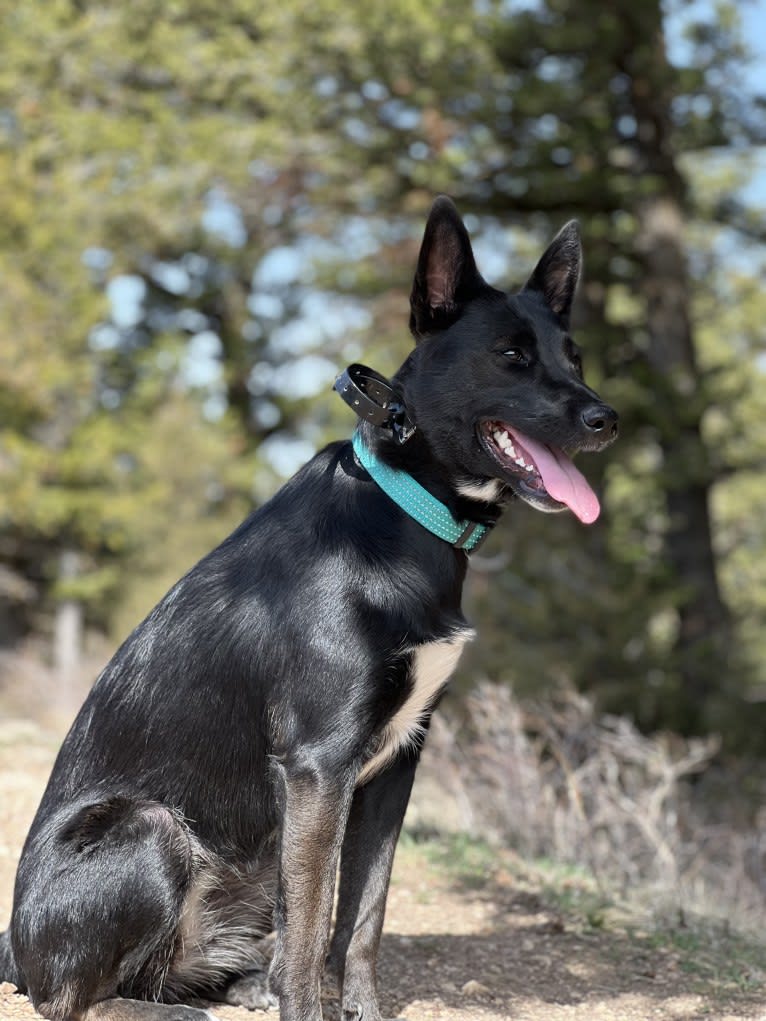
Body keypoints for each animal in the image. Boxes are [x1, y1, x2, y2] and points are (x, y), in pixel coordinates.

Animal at [0, 192, 616, 1021]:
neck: (406, 507)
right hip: (150, 828)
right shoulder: (319, 767)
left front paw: (362, 1008)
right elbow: (311, 929)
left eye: (572, 356)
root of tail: (12, 947)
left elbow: (360, 917)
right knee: (76, 997)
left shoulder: (396, 762)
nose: (607, 419)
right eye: (512, 355)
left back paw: (235, 987)